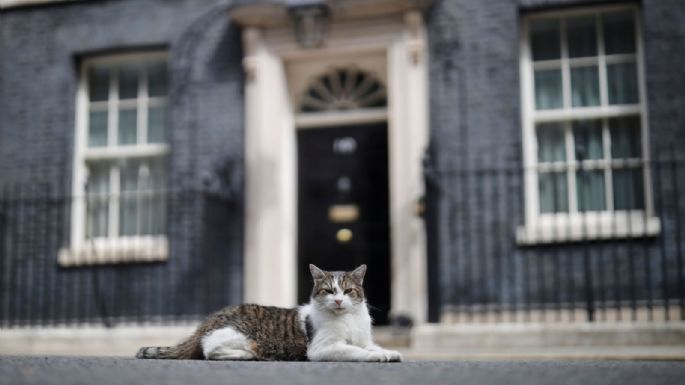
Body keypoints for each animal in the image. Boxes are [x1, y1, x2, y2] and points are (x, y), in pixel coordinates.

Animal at [135, 262, 400, 362]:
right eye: (328, 290)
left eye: (347, 291)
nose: (337, 300)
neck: (347, 319)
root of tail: (208, 321)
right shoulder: (323, 348)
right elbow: (356, 351)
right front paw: (377, 357)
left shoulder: (365, 340)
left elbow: (371, 346)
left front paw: (388, 352)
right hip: (239, 336)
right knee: (210, 350)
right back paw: (249, 355)